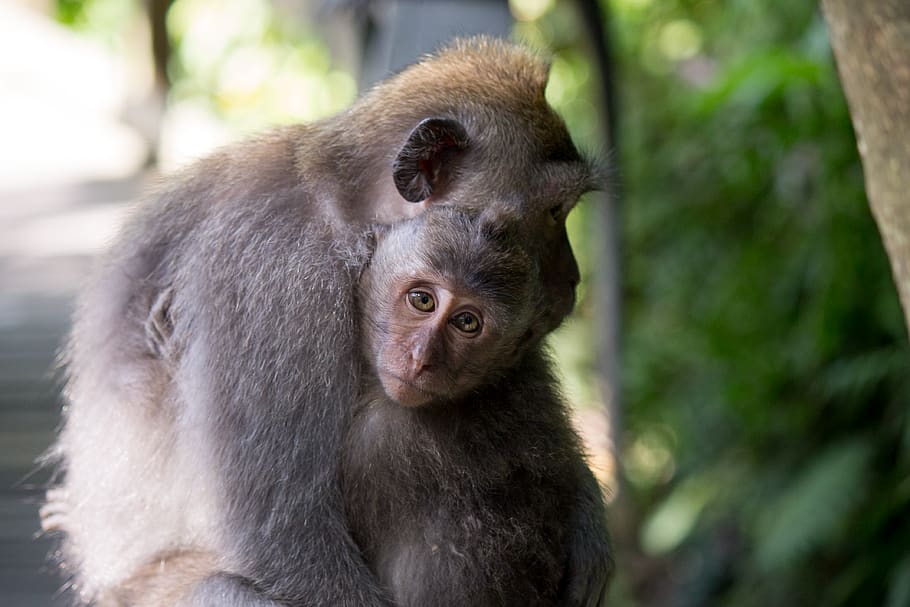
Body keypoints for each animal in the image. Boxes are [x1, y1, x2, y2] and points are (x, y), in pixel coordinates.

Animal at [42, 37, 612, 605]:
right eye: (555, 212)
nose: (572, 278)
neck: (343, 212)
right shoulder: (276, 286)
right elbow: (285, 536)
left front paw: (588, 522)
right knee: (219, 588)